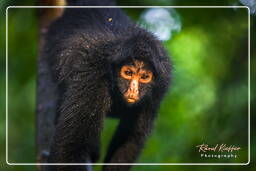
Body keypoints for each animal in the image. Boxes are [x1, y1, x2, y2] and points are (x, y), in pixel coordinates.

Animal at [45, 0, 171, 171]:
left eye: (144, 77)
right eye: (128, 73)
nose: (133, 90)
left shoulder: (160, 86)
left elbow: (130, 141)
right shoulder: (92, 76)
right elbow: (68, 149)